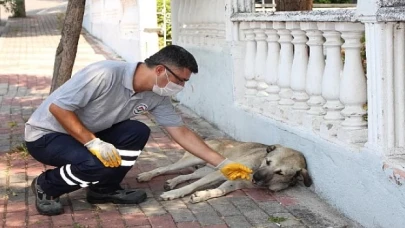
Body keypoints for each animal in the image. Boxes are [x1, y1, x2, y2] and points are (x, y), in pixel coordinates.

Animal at [137, 139, 312, 203]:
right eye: (268, 161)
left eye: (280, 173)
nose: (255, 178)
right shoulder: (221, 174)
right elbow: (192, 185)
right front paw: (175, 194)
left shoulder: (234, 184)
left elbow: (219, 191)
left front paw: (203, 195)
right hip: (195, 160)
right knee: (165, 168)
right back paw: (147, 175)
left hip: (206, 169)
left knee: (186, 175)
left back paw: (172, 182)